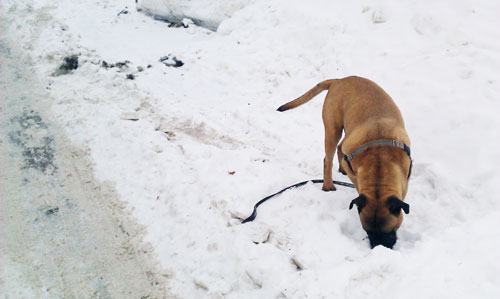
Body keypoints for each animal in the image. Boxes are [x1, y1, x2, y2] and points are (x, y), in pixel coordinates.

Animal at [278, 76, 410, 250]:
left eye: (390, 231)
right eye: (367, 231)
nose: (377, 246)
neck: (379, 164)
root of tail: (338, 80)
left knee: (341, 148)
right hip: (332, 129)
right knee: (328, 158)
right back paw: (328, 185)